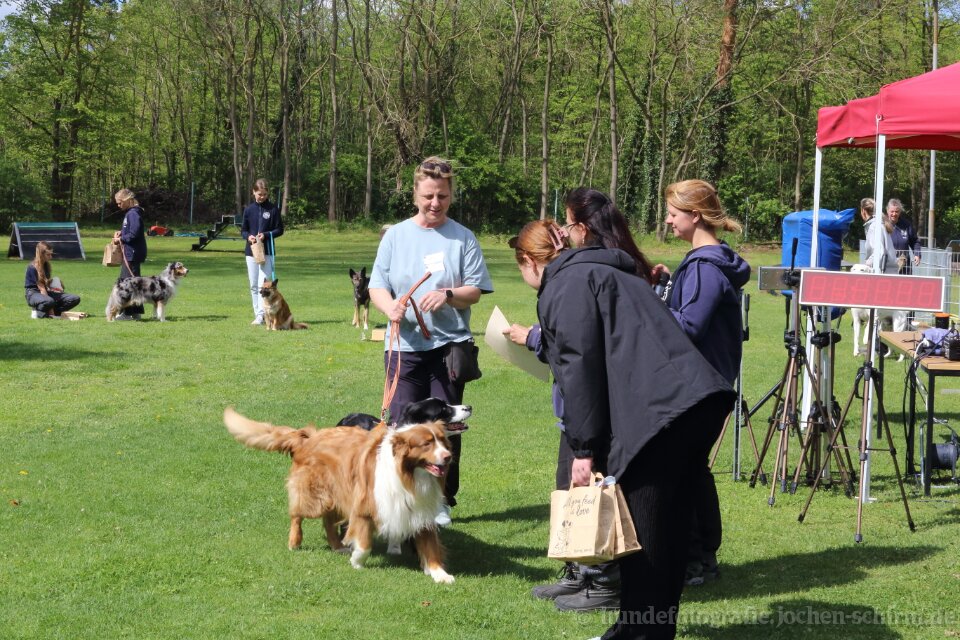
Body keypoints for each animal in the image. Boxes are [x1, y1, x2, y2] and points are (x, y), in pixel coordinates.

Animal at [223, 398, 472, 584]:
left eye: (441, 441)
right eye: (442, 409)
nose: (468, 407)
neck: (409, 473)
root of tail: (309, 437)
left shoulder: (419, 507)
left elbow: (429, 544)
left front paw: (438, 573)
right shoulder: (365, 503)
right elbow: (364, 542)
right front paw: (357, 561)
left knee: (327, 521)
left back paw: (337, 546)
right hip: (315, 494)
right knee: (298, 515)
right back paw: (295, 541)